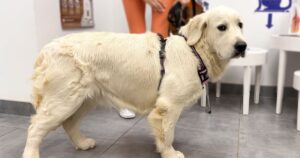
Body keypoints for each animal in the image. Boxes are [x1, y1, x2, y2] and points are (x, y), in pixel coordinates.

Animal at [22, 6, 246, 158]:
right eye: (222, 27)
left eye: (240, 25)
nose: (242, 46)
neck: (194, 51)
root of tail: (47, 48)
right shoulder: (169, 106)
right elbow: (168, 133)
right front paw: (170, 152)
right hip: (63, 100)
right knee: (35, 128)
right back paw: (32, 153)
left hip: (83, 99)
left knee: (69, 124)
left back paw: (83, 143)